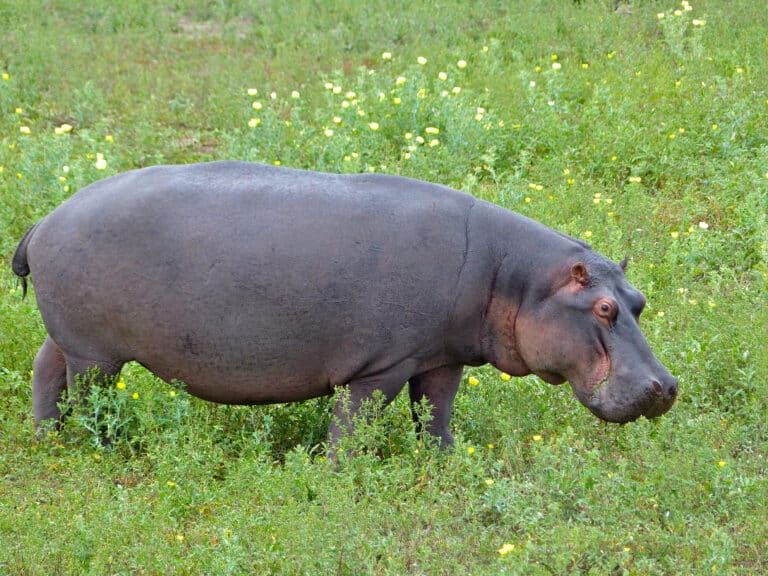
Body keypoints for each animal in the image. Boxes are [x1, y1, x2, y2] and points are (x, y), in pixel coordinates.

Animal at [12, 161, 677, 448]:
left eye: (640, 300)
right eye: (603, 310)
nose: (667, 387)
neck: (514, 277)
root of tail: (42, 222)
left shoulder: (441, 358)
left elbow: (435, 414)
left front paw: (443, 463)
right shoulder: (381, 365)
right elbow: (354, 425)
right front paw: (339, 475)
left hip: (68, 337)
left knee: (45, 373)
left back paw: (46, 442)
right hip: (98, 354)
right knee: (88, 398)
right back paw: (104, 448)